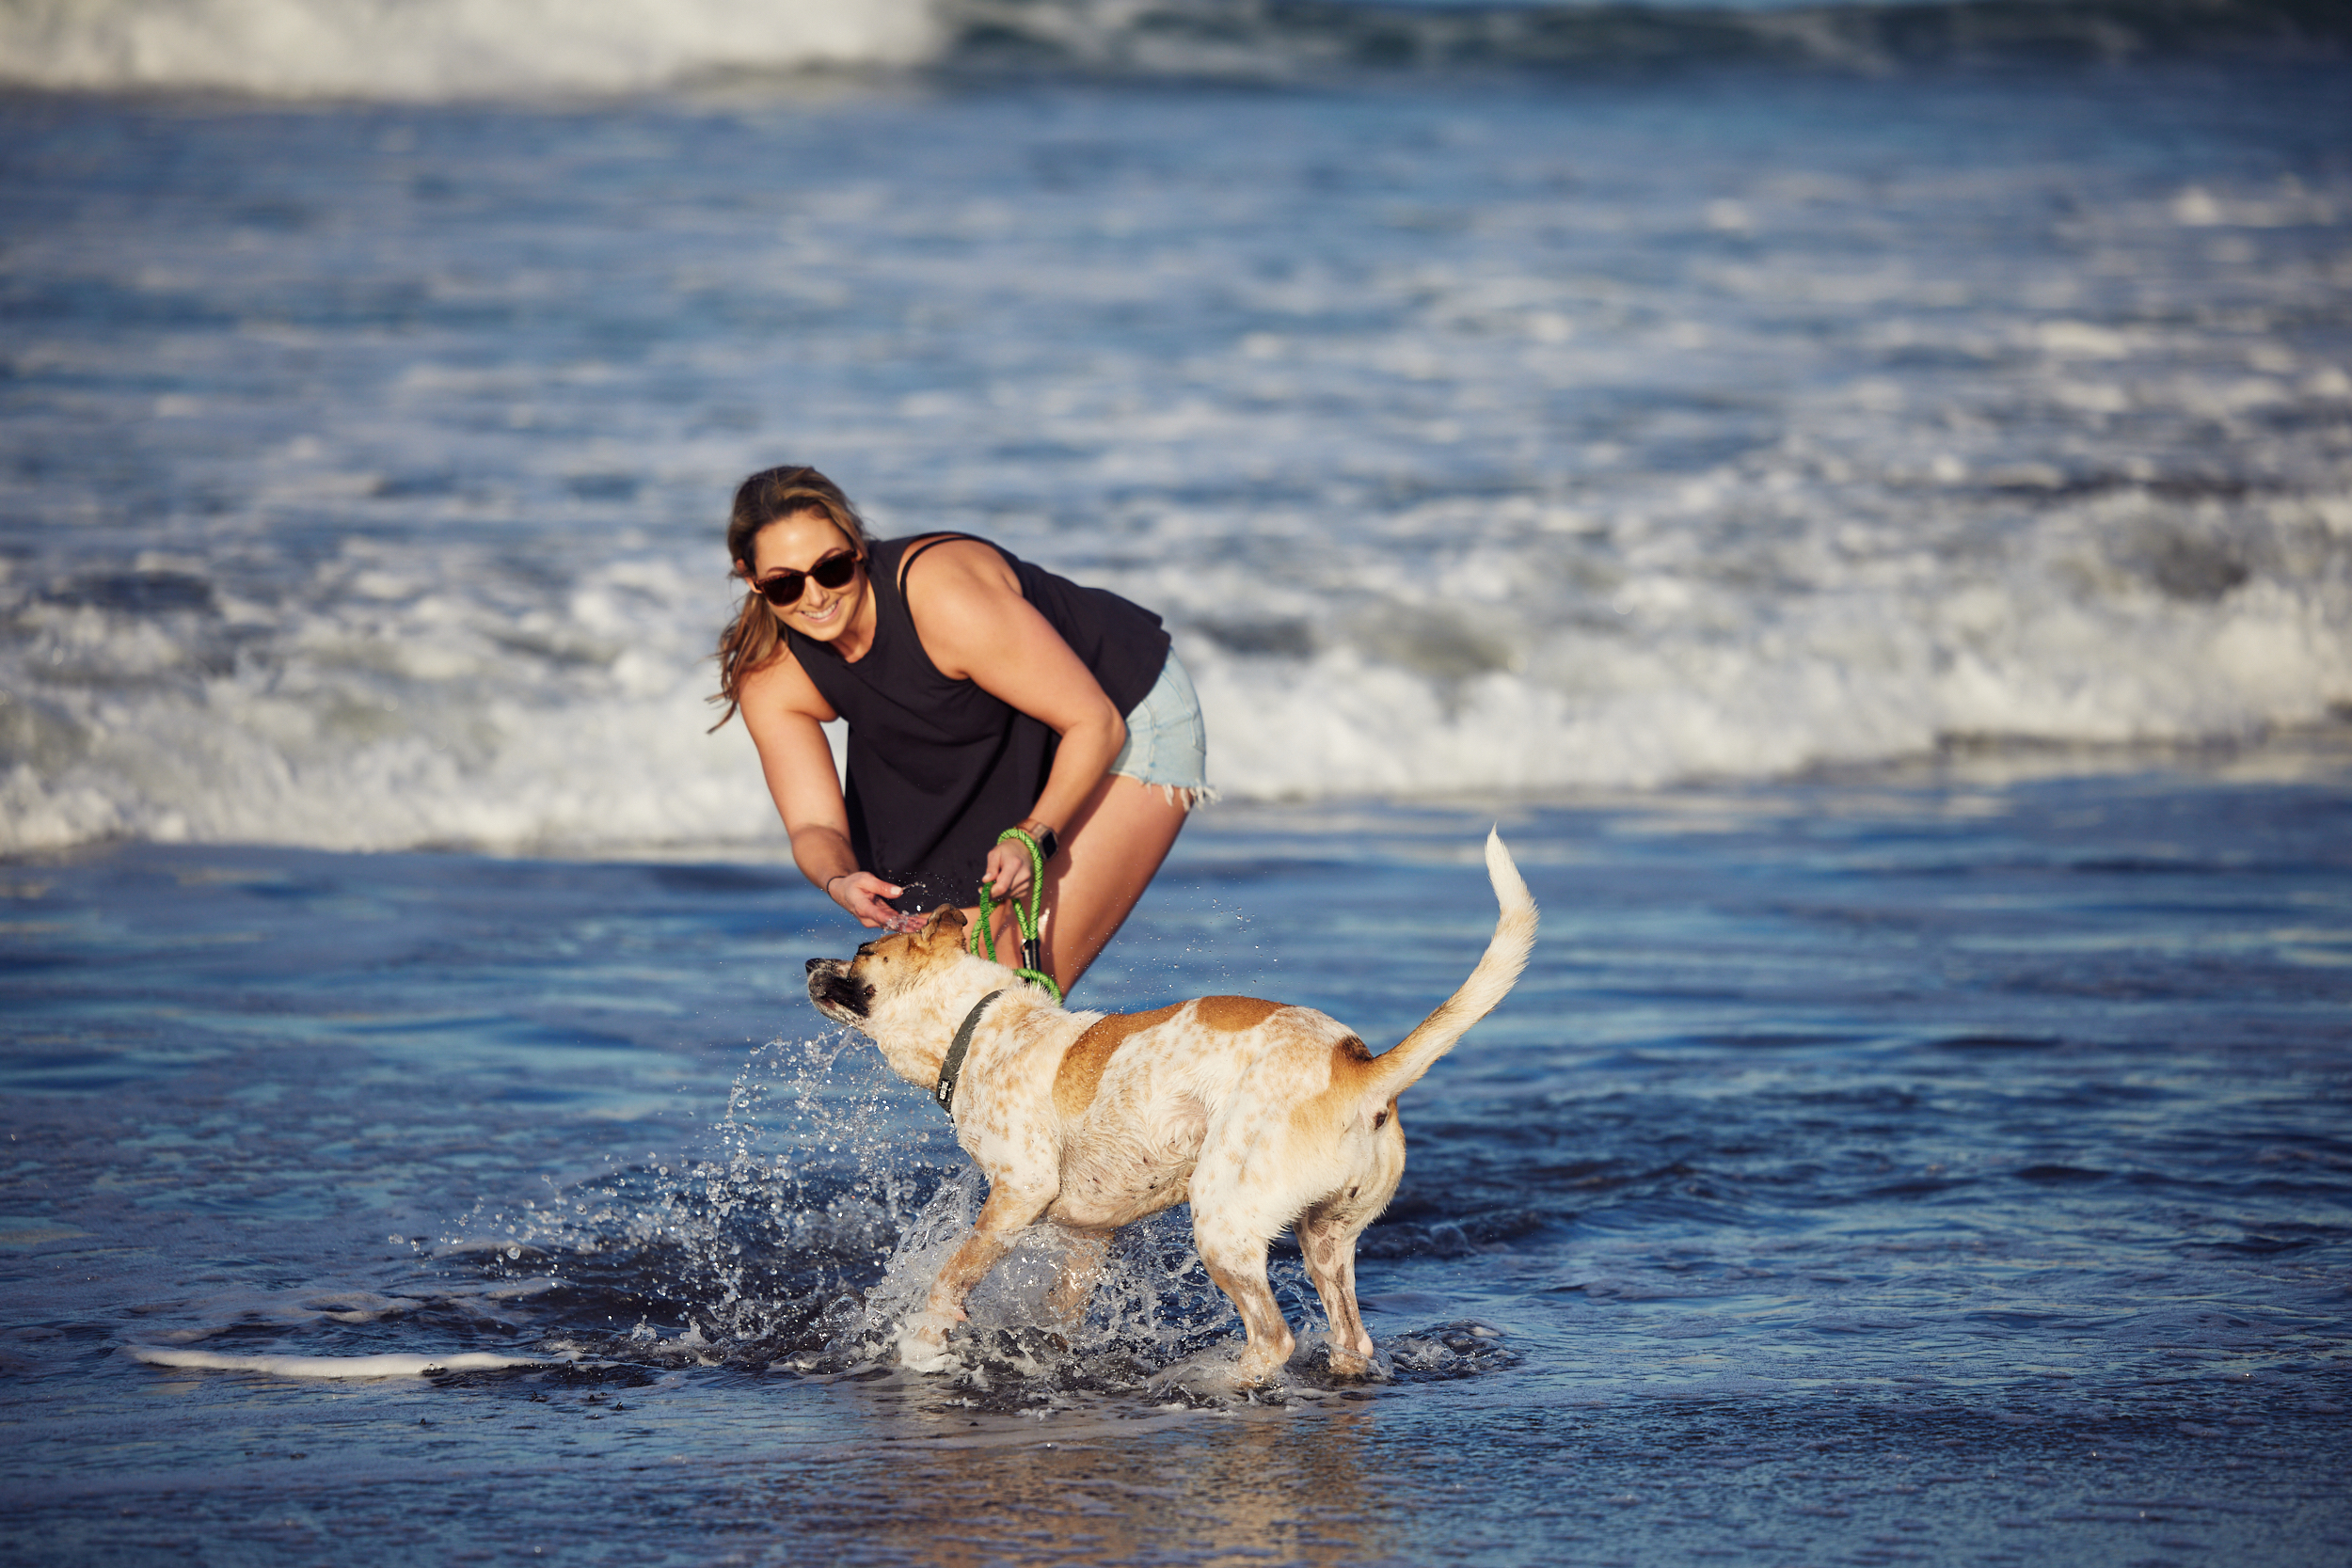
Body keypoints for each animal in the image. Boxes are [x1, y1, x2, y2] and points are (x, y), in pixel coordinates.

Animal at [809, 827, 1543, 1382]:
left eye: (863, 949)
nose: (811, 963)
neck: (979, 1026)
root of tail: (1357, 1065)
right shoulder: (1088, 1236)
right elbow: (1059, 1312)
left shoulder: (1019, 1191)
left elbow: (951, 1276)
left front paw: (923, 1342)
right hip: (1327, 1240)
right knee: (1351, 1338)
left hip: (1222, 1222)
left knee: (1272, 1338)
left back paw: (1211, 1384)